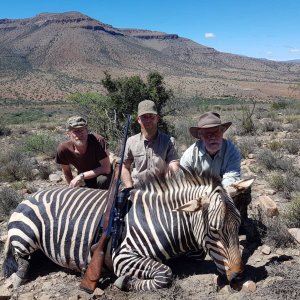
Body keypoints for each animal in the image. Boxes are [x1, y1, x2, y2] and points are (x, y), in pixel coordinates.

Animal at [1, 171, 253, 290]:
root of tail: (33, 194)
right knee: (18, 257)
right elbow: (165, 273)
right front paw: (124, 282)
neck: (161, 220)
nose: (239, 275)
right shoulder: (122, 256)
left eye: (238, 226)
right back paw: (18, 277)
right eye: (214, 230)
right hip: (26, 236)